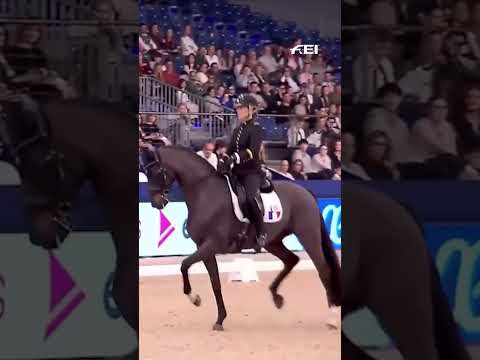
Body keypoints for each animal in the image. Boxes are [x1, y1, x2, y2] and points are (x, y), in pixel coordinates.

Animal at [141, 145, 344, 330]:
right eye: (146, 173)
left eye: (157, 172)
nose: (156, 203)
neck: (205, 192)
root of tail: (306, 192)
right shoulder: (204, 248)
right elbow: (215, 283)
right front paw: (220, 320)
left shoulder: (212, 244)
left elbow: (184, 264)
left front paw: (195, 299)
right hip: (273, 241)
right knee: (291, 260)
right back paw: (276, 297)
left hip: (308, 235)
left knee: (323, 270)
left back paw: (332, 318)